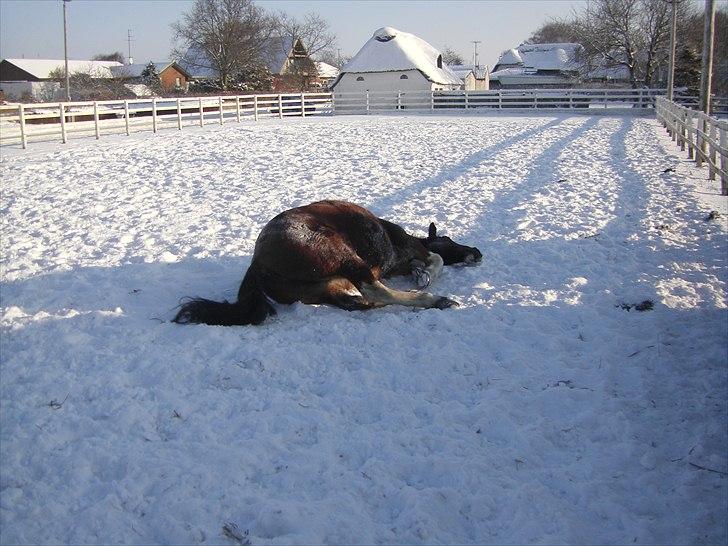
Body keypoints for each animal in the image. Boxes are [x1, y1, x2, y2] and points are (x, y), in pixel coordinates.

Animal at [174, 201, 484, 326]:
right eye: (448, 238)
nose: (477, 252)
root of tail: (257, 263)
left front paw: (420, 273)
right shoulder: (407, 244)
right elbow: (436, 258)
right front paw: (425, 276)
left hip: (324, 288)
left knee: (357, 301)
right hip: (343, 256)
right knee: (372, 288)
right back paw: (435, 300)